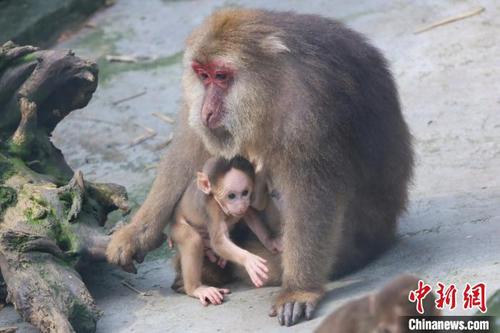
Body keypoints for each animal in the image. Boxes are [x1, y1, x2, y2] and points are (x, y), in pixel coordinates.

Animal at [170, 156, 282, 306]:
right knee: (192, 239)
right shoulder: (212, 208)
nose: (241, 204)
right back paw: (195, 289)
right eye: (231, 196)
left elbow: (250, 214)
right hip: (177, 226)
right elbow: (218, 242)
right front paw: (249, 260)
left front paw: (271, 241)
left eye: (245, 193)